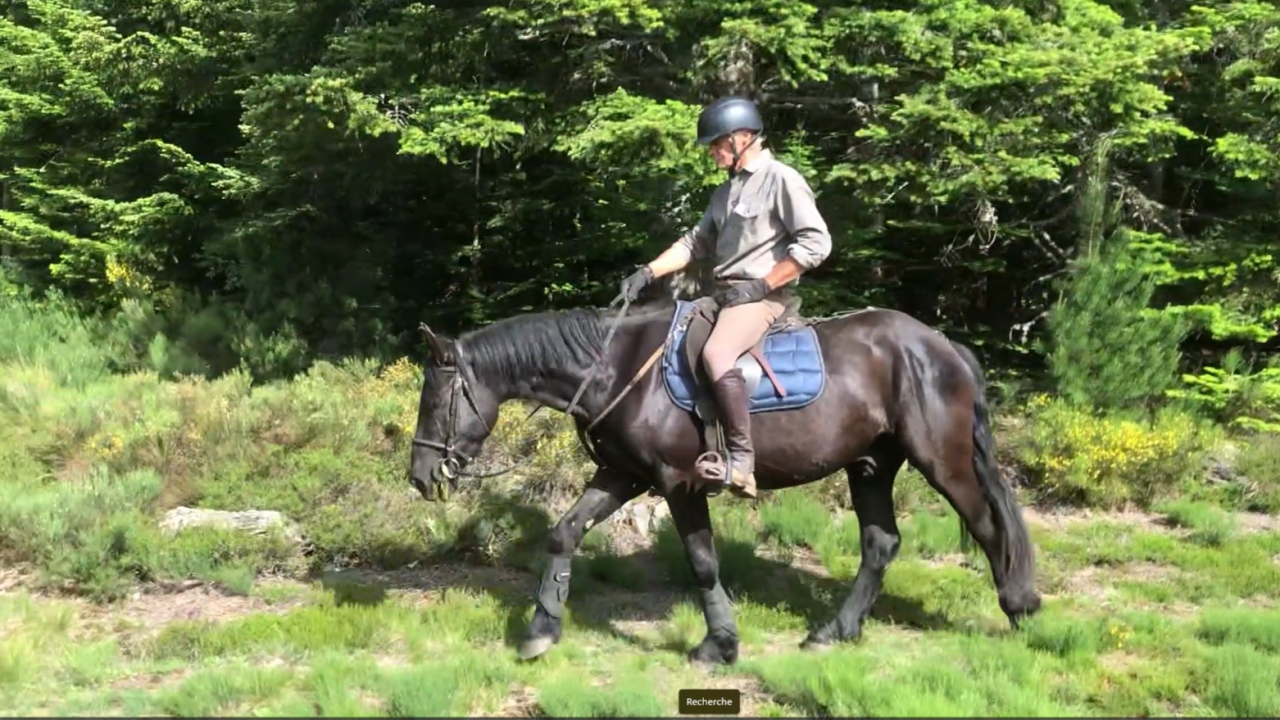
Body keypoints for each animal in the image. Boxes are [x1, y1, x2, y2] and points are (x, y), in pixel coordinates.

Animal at [408, 295, 1041, 666]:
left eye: (435, 399)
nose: (420, 475)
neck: (619, 368)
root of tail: (940, 346)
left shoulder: (679, 483)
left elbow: (703, 561)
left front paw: (720, 643)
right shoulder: (621, 474)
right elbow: (564, 533)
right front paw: (542, 629)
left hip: (942, 461)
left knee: (989, 527)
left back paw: (1020, 610)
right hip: (870, 466)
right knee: (881, 543)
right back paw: (834, 631)